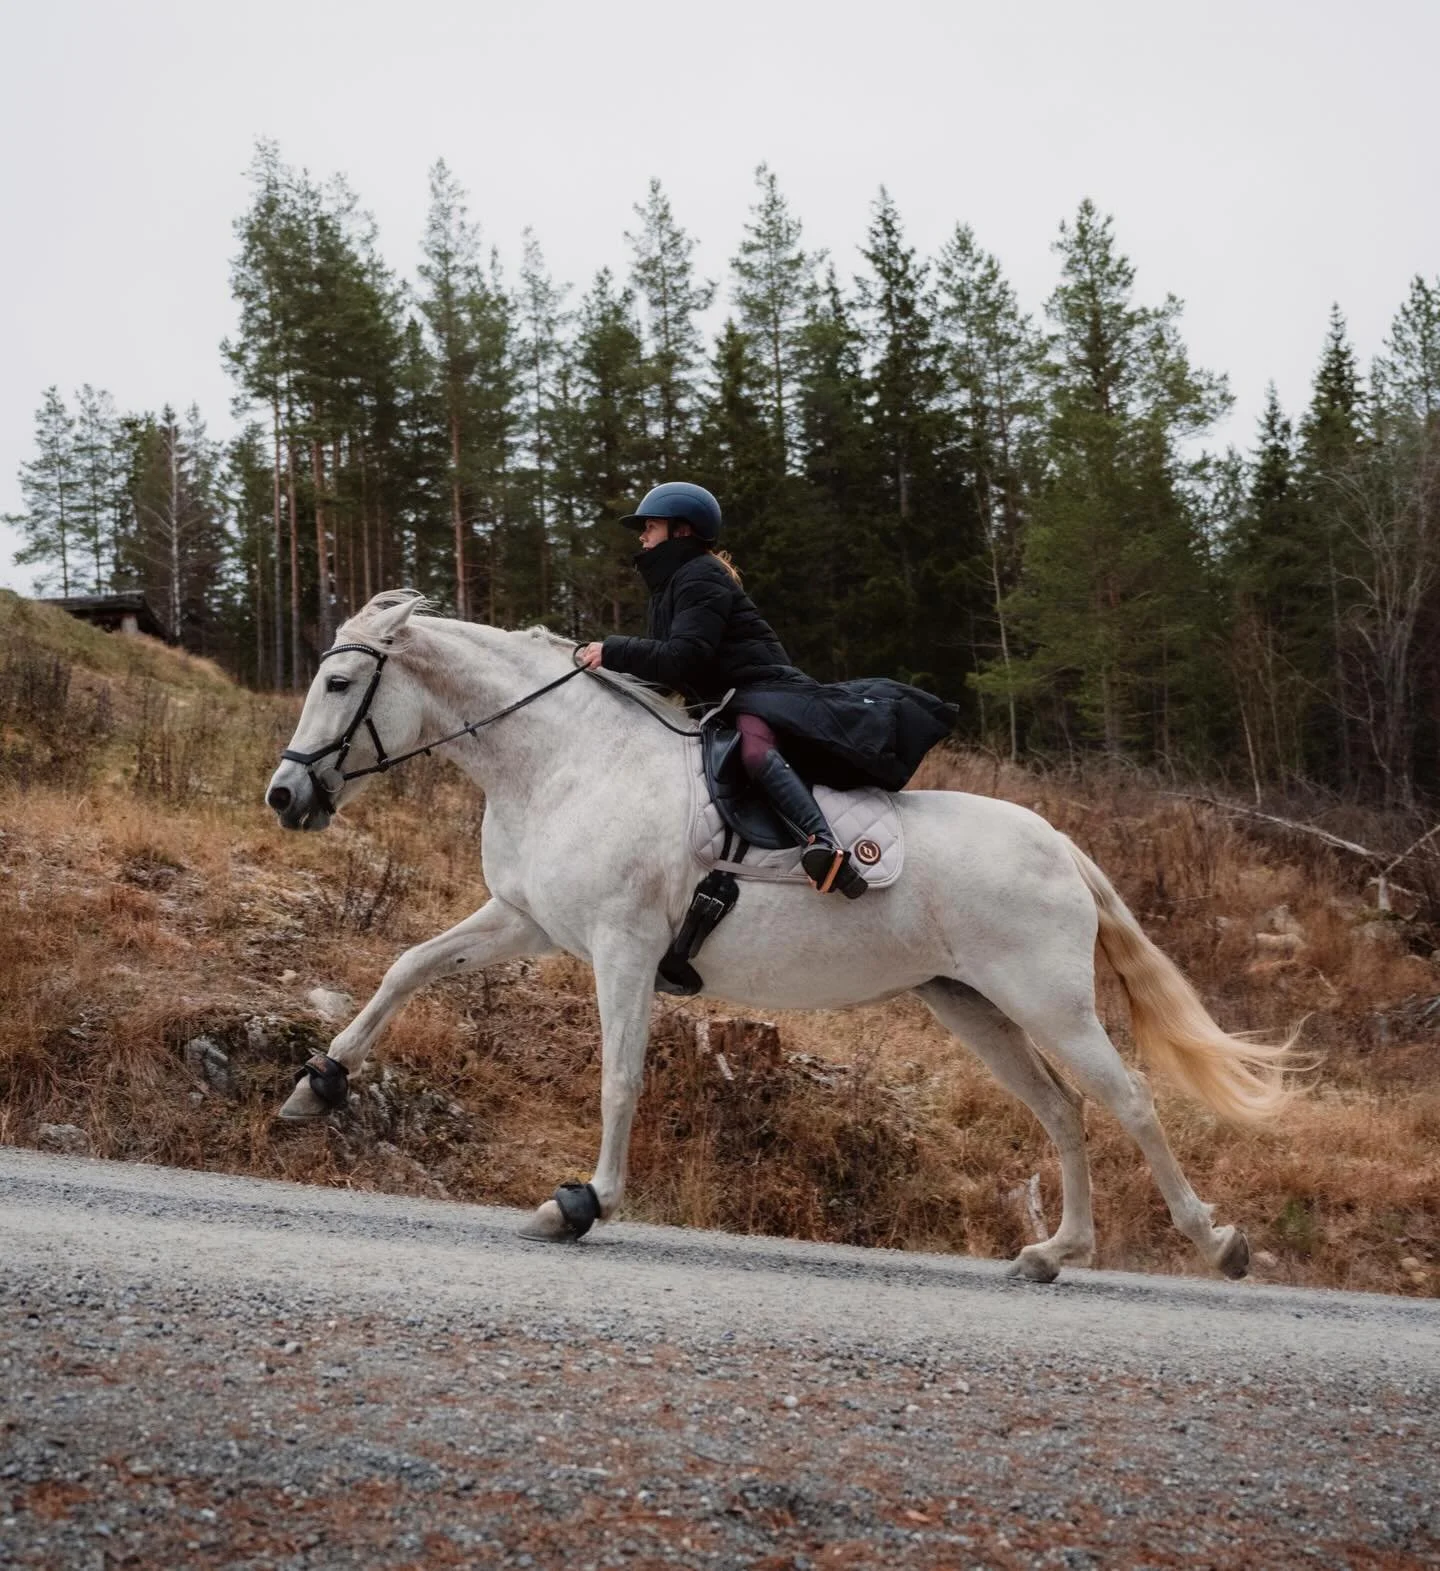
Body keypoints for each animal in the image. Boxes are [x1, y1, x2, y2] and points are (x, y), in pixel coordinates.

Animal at [265, 590, 1294, 1282]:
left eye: (341, 680)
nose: (285, 796)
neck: (563, 761)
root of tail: (1060, 844)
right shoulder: (525, 921)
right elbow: (407, 968)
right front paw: (316, 1085)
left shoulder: (623, 948)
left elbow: (619, 1076)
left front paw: (584, 1202)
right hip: (973, 1005)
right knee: (1064, 1109)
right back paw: (1053, 1251)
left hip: (1050, 1001)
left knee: (1129, 1101)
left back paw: (1217, 1241)